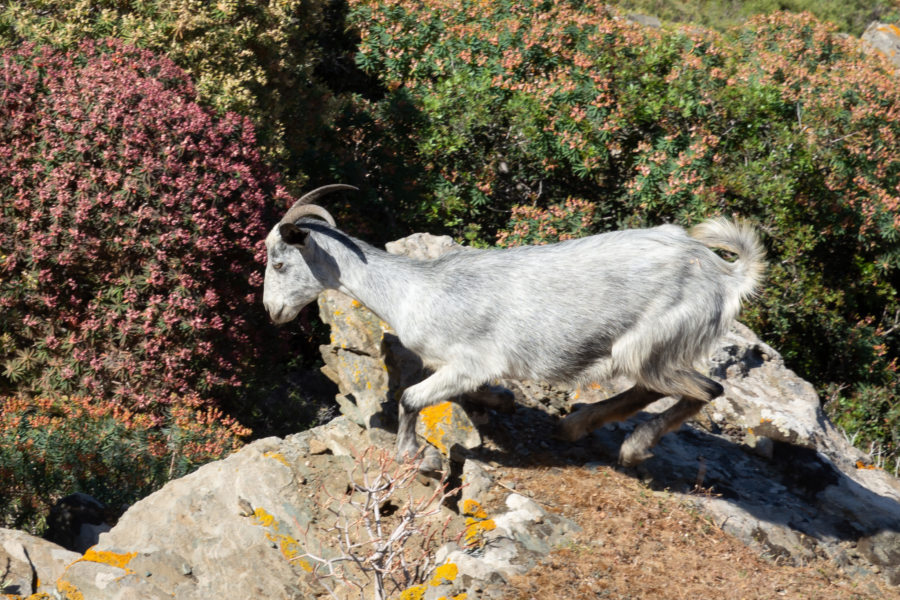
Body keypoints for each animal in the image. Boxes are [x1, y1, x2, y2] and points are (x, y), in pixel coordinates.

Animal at [262, 185, 768, 472]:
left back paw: (633, 449)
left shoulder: (471, 361)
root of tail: (726, 276)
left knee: (705, 389)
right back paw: (575, 426)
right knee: (656, 388)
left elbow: (411, 398)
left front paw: (414, 455)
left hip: (650, 342)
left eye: (279, 261)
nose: (272, 311)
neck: (414, 290)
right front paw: (497, 404)